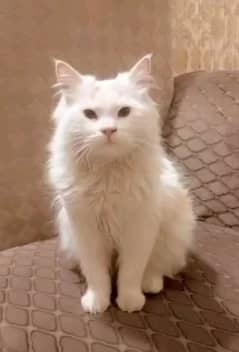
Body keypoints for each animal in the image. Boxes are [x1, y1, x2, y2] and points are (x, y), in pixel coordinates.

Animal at [48, 55, 194, 314]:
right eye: (90, 114)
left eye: (124, 112)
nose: (108, 130)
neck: (108, 174)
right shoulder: (86, 230)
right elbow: (97, 275)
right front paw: (97, 303)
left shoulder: (139, 228)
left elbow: (131, 273)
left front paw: (130, 302)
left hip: (173, 234)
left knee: (158, 267)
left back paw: (150, 285)